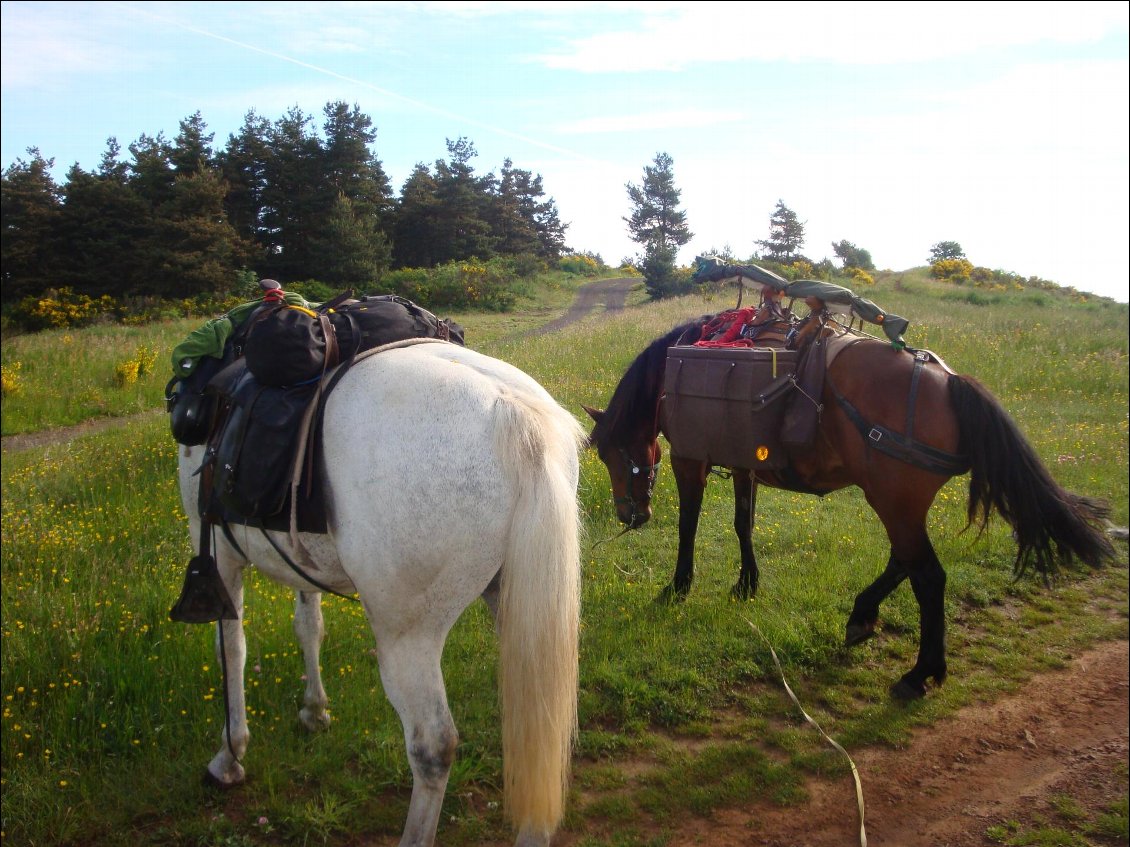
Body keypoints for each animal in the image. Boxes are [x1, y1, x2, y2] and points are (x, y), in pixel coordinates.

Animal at [178, 343, 583, 847]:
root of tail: (513, 412)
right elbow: (308, 626)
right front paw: (315, 710)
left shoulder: (216, 550)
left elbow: (230, 649)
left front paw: (230, 755)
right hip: (519, 610)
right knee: (538, 724)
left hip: (407, 639)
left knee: (433, 744)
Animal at [587, 311, 1116, 695]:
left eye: (611, 452)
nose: (629, 515)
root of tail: (950, 381)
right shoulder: (742, 464)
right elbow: (743, 523)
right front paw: (747, 583)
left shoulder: (689, 459)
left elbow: (690, 525)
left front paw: (678, 586)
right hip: (900, 504)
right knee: (904, 560)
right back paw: (864, 615)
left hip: (892, 500)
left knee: (928, 575)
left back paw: (919, 672)